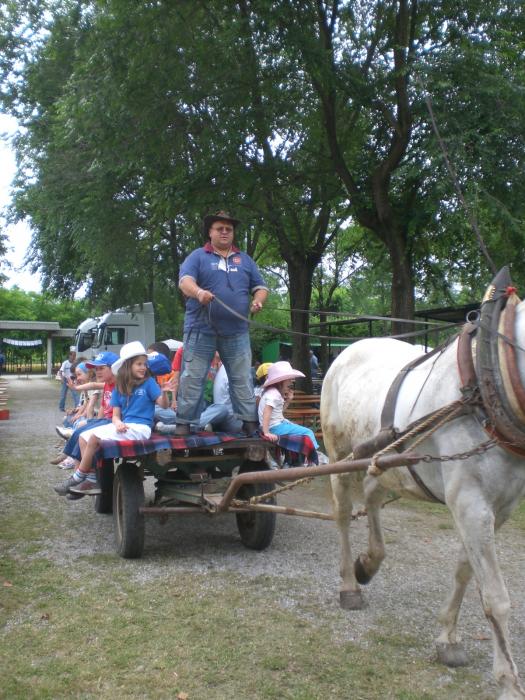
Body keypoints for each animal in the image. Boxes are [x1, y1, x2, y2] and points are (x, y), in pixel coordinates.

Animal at [320, 304, 524, 696]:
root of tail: (348, 350)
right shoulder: (470, 501)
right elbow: (495, 597)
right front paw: (509, 683)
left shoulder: (497, 507)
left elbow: (464, 570)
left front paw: (447, 639)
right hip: (339, 454)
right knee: (342, 513)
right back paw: (350, 584)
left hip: (387, 459)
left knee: (372, 493)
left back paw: (369, 562)